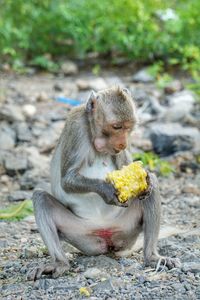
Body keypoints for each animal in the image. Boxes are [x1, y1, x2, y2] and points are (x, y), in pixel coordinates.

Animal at [27, 85, 180, 280]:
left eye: (128, 128)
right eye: (117, 127)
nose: (123, 144)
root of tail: (106, 234)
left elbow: (128, 170)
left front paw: (145, 179)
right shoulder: (76, 127)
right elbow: (67, 179)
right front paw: (106, 190)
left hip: (126, 228)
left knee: (152, 191)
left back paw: (152, 257)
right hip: (81, 235)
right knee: (40, 197)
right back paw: (60, 263)